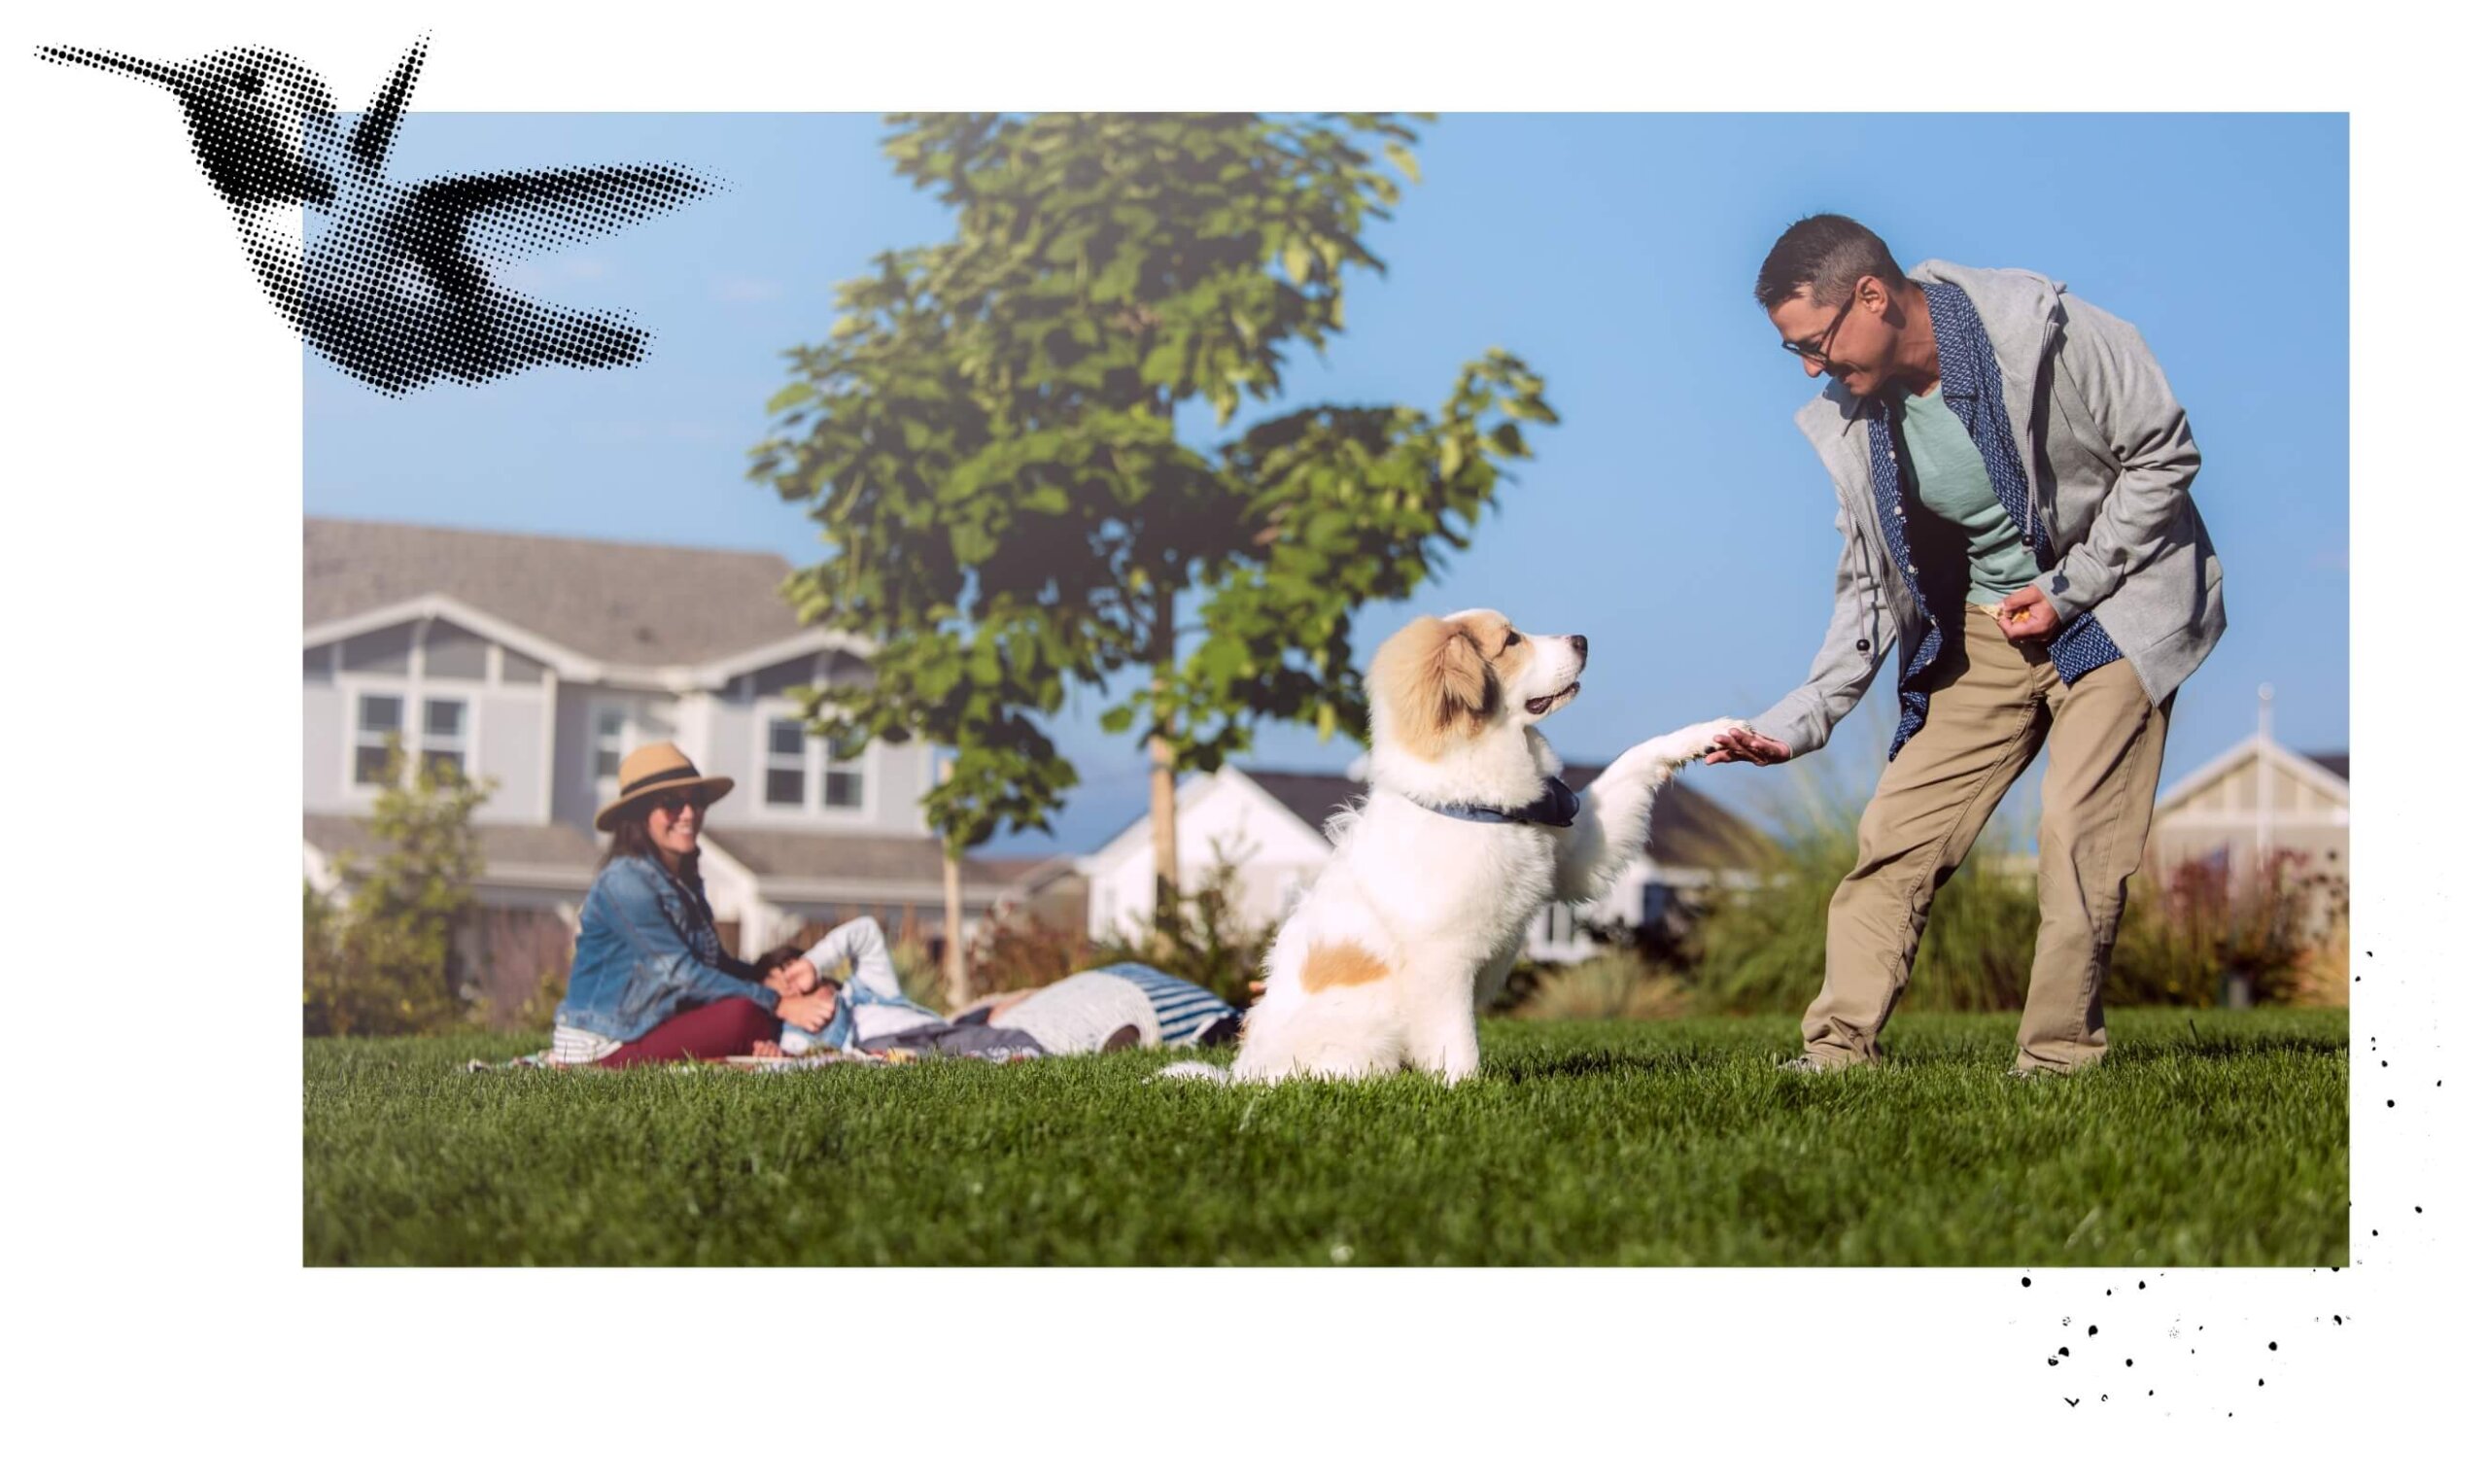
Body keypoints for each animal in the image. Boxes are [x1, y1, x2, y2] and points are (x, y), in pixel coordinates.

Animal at [1158, 607, 1731, 1086]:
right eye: (1511, 640)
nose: (1582, 639)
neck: (1473, 800)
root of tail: (1242, 1078)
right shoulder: (1444, 964)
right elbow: (1460, 1047)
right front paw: (1469, 1095)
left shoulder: (1578, 850)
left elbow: (1633, 761)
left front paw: (1708, 734)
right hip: (1361, 1047)